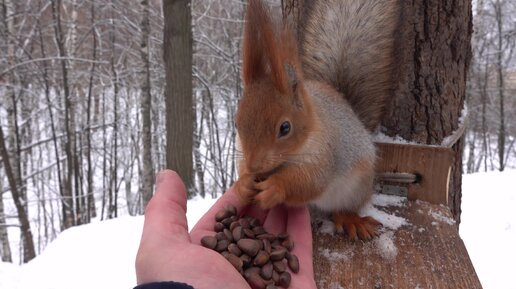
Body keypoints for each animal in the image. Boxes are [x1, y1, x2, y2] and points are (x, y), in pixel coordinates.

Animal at [236, 0, 402, 238]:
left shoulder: (325, 153)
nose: (255, 166)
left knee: (344, 208)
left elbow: (310, 181)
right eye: (236, 123)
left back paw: (351, 220)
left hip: (356, 188)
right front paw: (243, 183)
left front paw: (275, 187)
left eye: (285, 127)